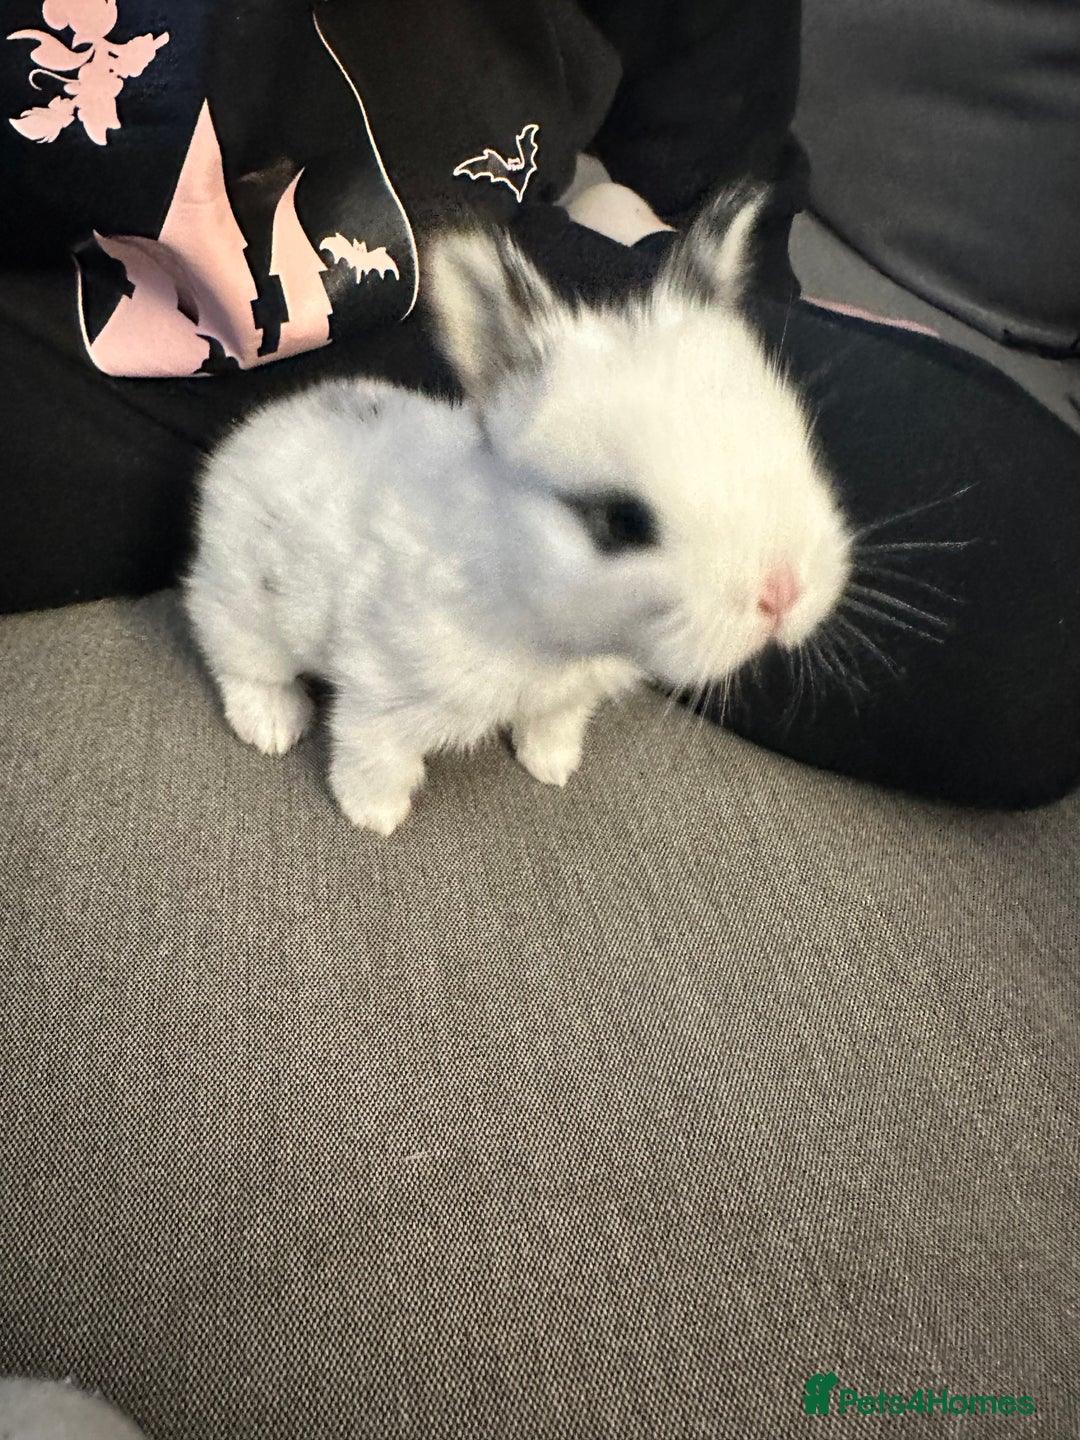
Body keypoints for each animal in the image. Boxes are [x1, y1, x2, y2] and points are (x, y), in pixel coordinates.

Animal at [183, 185, 852, 835]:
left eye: (797, 447)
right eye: (622, 522)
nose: (782, 592)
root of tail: (247, 440)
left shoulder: (567, 698)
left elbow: (552, 725)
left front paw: (551, 769)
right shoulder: (383, 691)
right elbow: (373, 755)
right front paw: (373, 817)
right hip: (245, 611)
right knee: (231, 653)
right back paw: (273, 725)